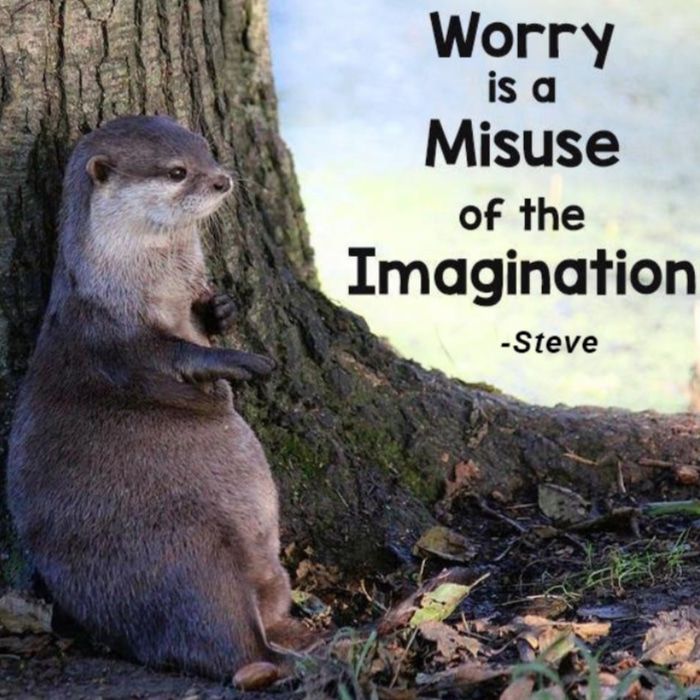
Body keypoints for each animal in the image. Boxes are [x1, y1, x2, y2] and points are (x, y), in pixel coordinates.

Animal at [7, 115, 301, 680]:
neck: (138, 285)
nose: (222, 180)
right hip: (193, 551)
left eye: (207, 151)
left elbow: (202, 322)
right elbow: (171, 357)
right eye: (177, 171)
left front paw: (222, 308)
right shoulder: (113, 339)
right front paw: (241, 361)